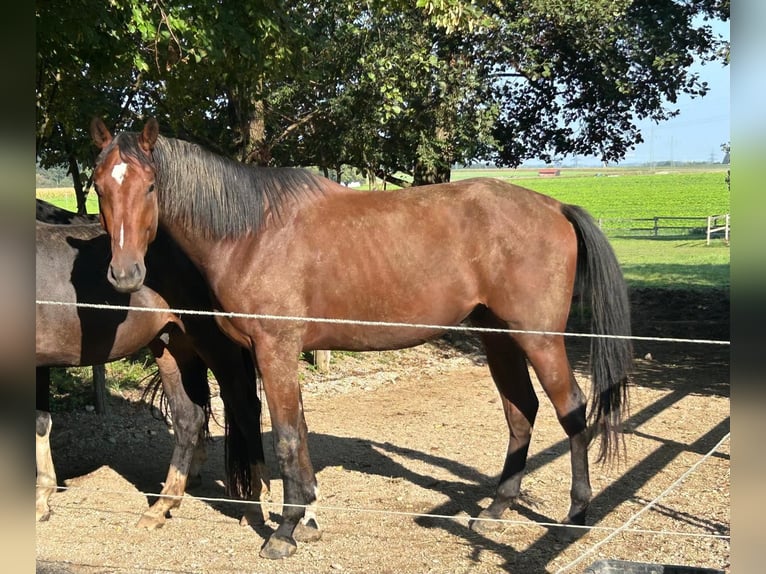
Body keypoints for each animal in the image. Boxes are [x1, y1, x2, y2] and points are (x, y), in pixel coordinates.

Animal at [36, 202, 270, 532]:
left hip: (215, 346)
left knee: (245, 409)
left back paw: (252, 505)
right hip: (170, 346)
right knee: (189, 417)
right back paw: (162, 505)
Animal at [90, 118, 632, 564]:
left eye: (151, 185)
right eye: (98, 185)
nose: (124, 274)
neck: (252, 232)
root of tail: (555, 206)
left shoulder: (275, 349)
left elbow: (286, 437)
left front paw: (284, 532)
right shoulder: (282, 355)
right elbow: (299, 431)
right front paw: (308, 517)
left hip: (539, 340)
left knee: (571, 410)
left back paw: (577, 514)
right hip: (498, 338)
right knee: (521, 412)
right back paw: (496, 508)